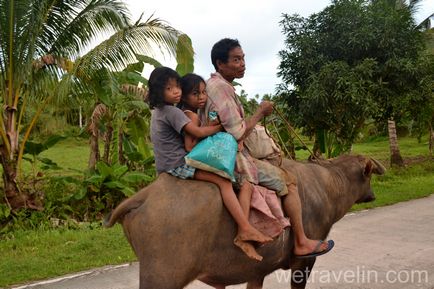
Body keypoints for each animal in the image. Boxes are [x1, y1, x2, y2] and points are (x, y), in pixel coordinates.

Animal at [104, 154, 384, 286]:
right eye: (369, 175)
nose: (371, 194)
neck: (328, 184)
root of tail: (146, 194)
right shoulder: (304, 262)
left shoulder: (257, 271)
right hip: (162, 277)